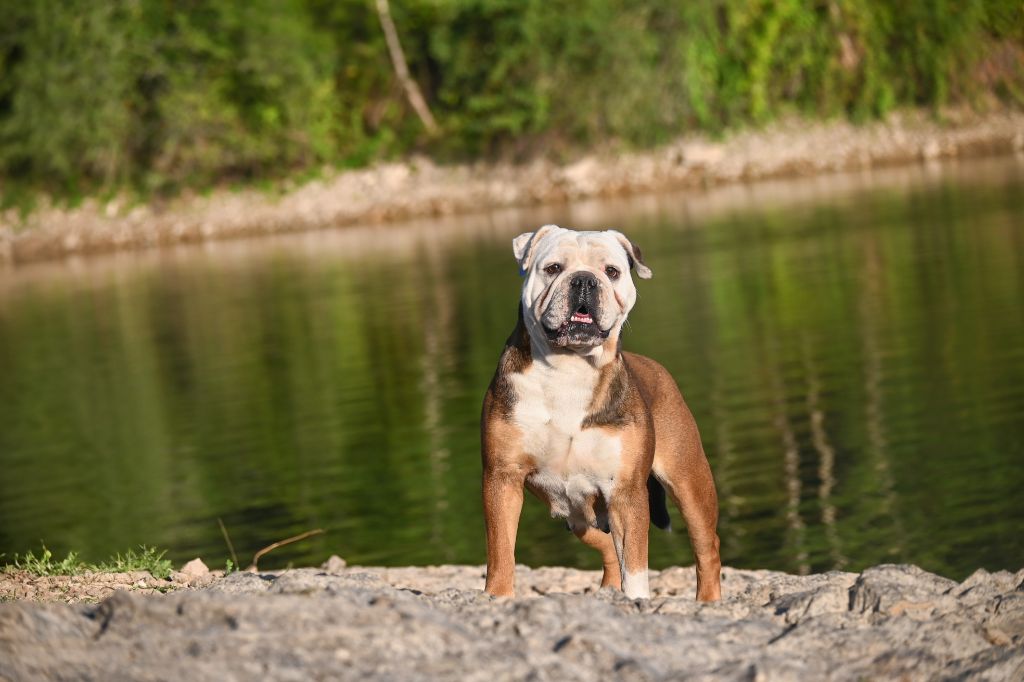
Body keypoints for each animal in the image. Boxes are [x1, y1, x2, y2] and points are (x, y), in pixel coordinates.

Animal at [481, 225, 722, 601]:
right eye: (553, 268)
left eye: (611, 271)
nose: (584, 280)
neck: (569, 368)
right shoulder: (501, 479)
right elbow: (501, 552)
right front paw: (498, 597)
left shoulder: (625, 491)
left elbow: (635, 565)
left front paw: (636, 601)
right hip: (577, 514)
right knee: (607, 546)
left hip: (688, 481)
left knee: (706, 546)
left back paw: (708, 602)